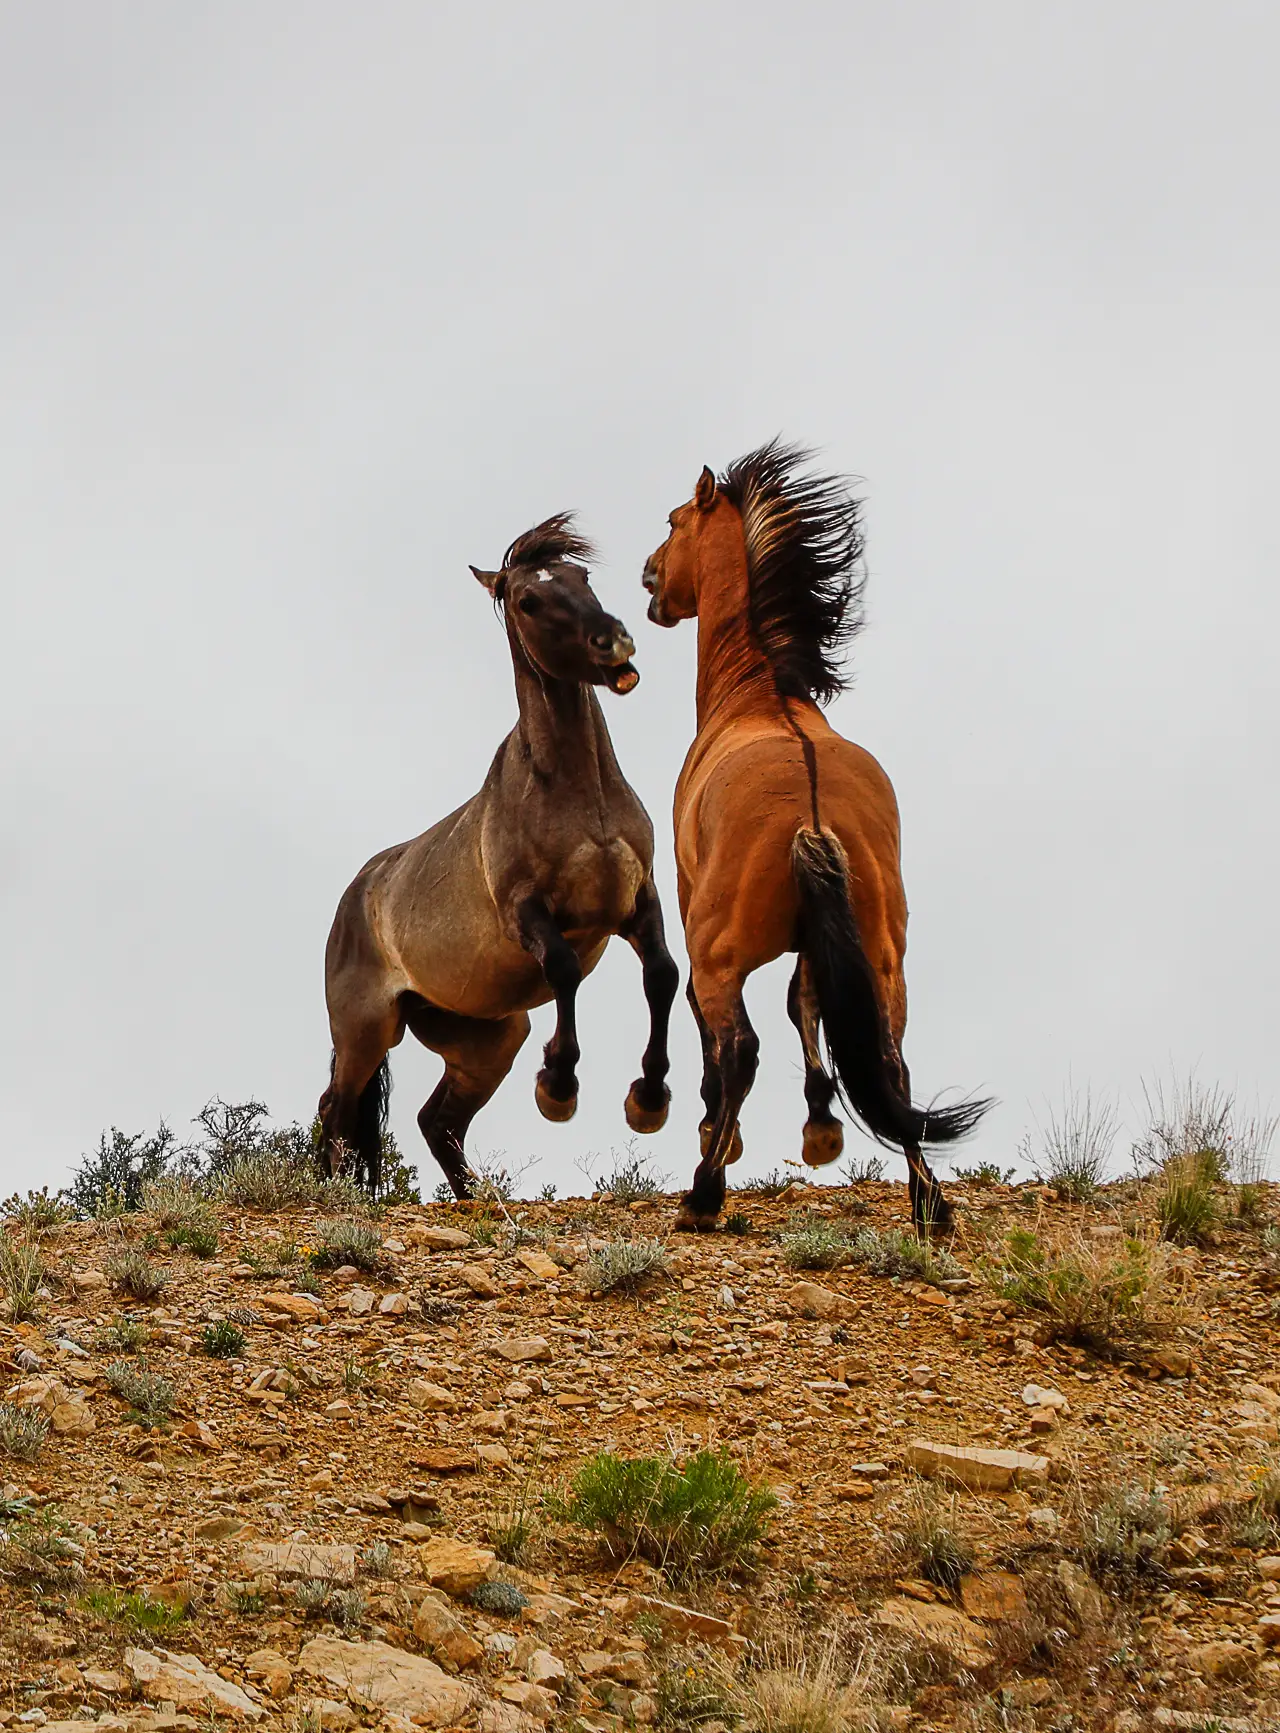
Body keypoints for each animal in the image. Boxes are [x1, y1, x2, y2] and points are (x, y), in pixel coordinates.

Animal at [318, 509, 682, 1192]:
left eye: (581, 576)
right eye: (528, 600)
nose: (614, 642)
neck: (579, 800)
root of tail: (355, 898)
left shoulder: (637, 900)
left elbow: (664, 975)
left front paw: (648, 1100)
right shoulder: (527, 913)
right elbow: (564, 969)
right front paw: (559, 1087)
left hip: (486, 1038)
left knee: (437, 1121)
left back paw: (472, 1197)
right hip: (365, 1030)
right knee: (337, 1108)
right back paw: (325, 1194)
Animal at [644, 447, 997, 1233]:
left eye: (676, 521)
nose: (649, 577)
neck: (757, 694)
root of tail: (808, 811)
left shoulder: (688, 910)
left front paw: (720, 1134)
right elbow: (807, 1004)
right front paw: (821, 1126)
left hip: (719, 953)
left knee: (739, 1047)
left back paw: (703, 1193)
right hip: (885, 955)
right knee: (889, 1059)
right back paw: (929, 1202)